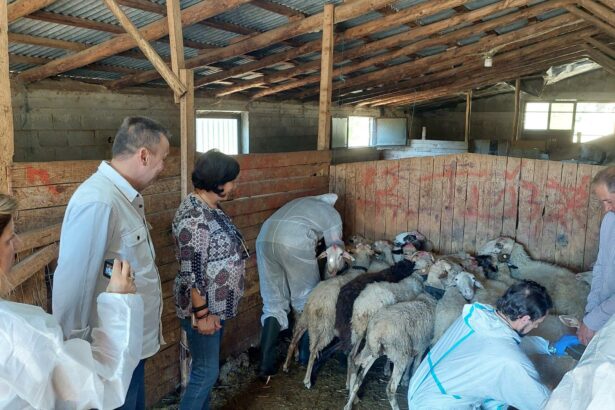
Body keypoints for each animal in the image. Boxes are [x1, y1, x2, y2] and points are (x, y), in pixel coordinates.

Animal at [282, 243, 373, 389]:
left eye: (341, 254)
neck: (357, 269)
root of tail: (316, 302)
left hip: (306, 320)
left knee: (294, 339)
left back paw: (286, 365)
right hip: (326, 328)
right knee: (314, 350)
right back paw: (307, 381)